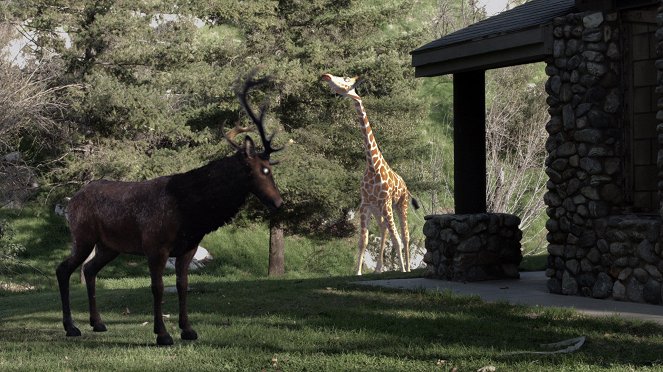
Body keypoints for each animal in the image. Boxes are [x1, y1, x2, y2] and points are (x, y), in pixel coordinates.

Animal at [56, 75, 282, 346]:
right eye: (261, 170)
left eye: (271, 169)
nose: (279, 202)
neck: (191, 214)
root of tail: (70, 202)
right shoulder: (156, 246)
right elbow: (158, 287)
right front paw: (162, 333)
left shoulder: (188, 248)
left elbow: (183, 285)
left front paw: (188, 329)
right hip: (83, 236)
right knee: (63, 269)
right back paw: (71, 327)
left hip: (109, 246)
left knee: (89, 269)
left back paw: (98, 323)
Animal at [320, 73, 418, 276]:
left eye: (346, 79)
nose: (326, 76)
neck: (372, 165)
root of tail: (405, 185)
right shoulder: (365, 204)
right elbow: (363, 240)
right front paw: (357, 273)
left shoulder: (386, 203)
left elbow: (397, 239)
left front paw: (402, 270)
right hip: (378, 210)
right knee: (384, 230)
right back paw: (379, 269)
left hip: (400, 205)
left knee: (404, 235)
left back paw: (407, 268)